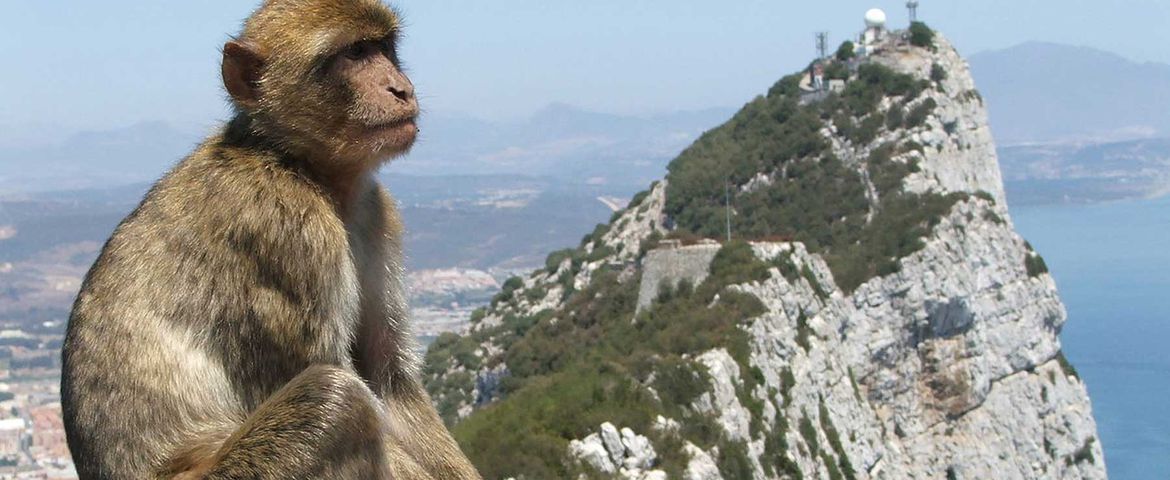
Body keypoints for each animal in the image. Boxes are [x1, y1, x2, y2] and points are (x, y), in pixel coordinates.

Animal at [57, 1, 479, 477]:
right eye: (354, 53)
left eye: (383, 47)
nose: (401, 88)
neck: (293, 161)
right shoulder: (288, 231)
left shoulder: (375, 214)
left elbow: (391, 385)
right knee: (336, 400)